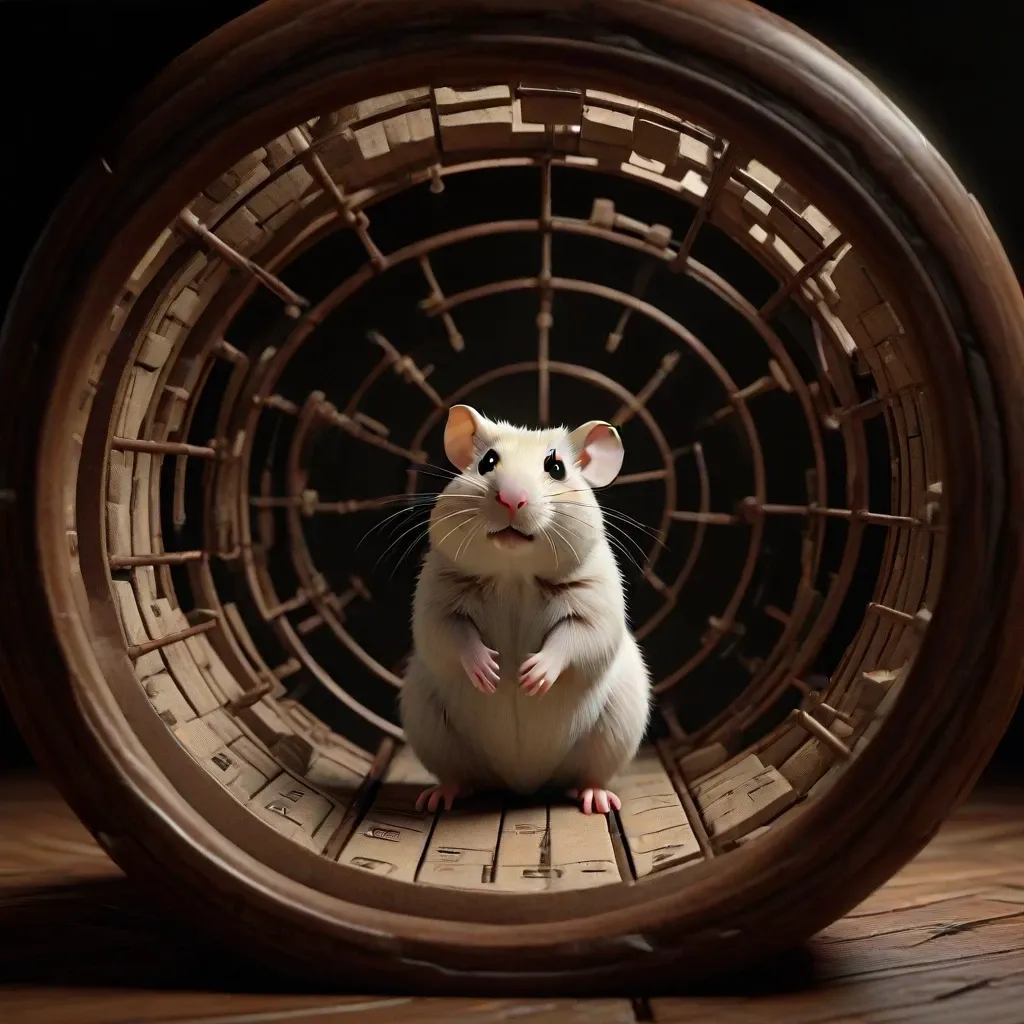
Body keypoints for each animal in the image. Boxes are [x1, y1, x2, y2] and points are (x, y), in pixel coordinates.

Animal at [399, 404, 651, 815]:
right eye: (487, 462)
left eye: (556, 467)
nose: (511, 499)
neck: (513, 573)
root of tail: (523, 785)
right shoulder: (438, 598)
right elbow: (451, 634)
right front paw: (490, 671)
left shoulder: (595, 602)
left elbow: (576, 637)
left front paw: (531, 676)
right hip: (430, 726)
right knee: (458, 777)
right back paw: (438, 797)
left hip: (614, 730)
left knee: (590, 775)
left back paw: (596, 799)